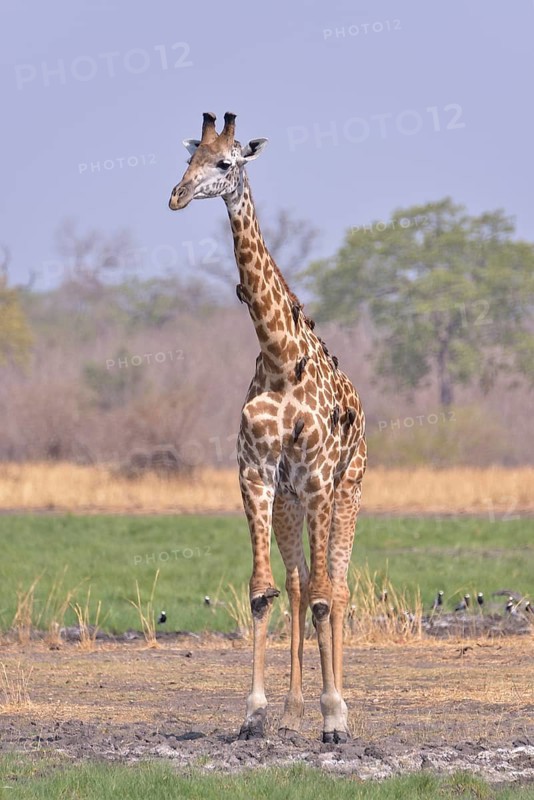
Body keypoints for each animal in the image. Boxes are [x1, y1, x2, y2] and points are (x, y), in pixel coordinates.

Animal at [169, 112, 367, 743]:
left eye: (226, 162)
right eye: (189, 157)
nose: (177, 196)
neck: (279, 356)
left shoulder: (320, 479)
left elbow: (328, 596)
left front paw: (335, 718)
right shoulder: (256, 473)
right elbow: (263, 591)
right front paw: (256, 713)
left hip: (346, 489)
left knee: (338, 587)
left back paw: (339, 707)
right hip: (290, 500)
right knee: (301, 582)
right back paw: (293, 707)